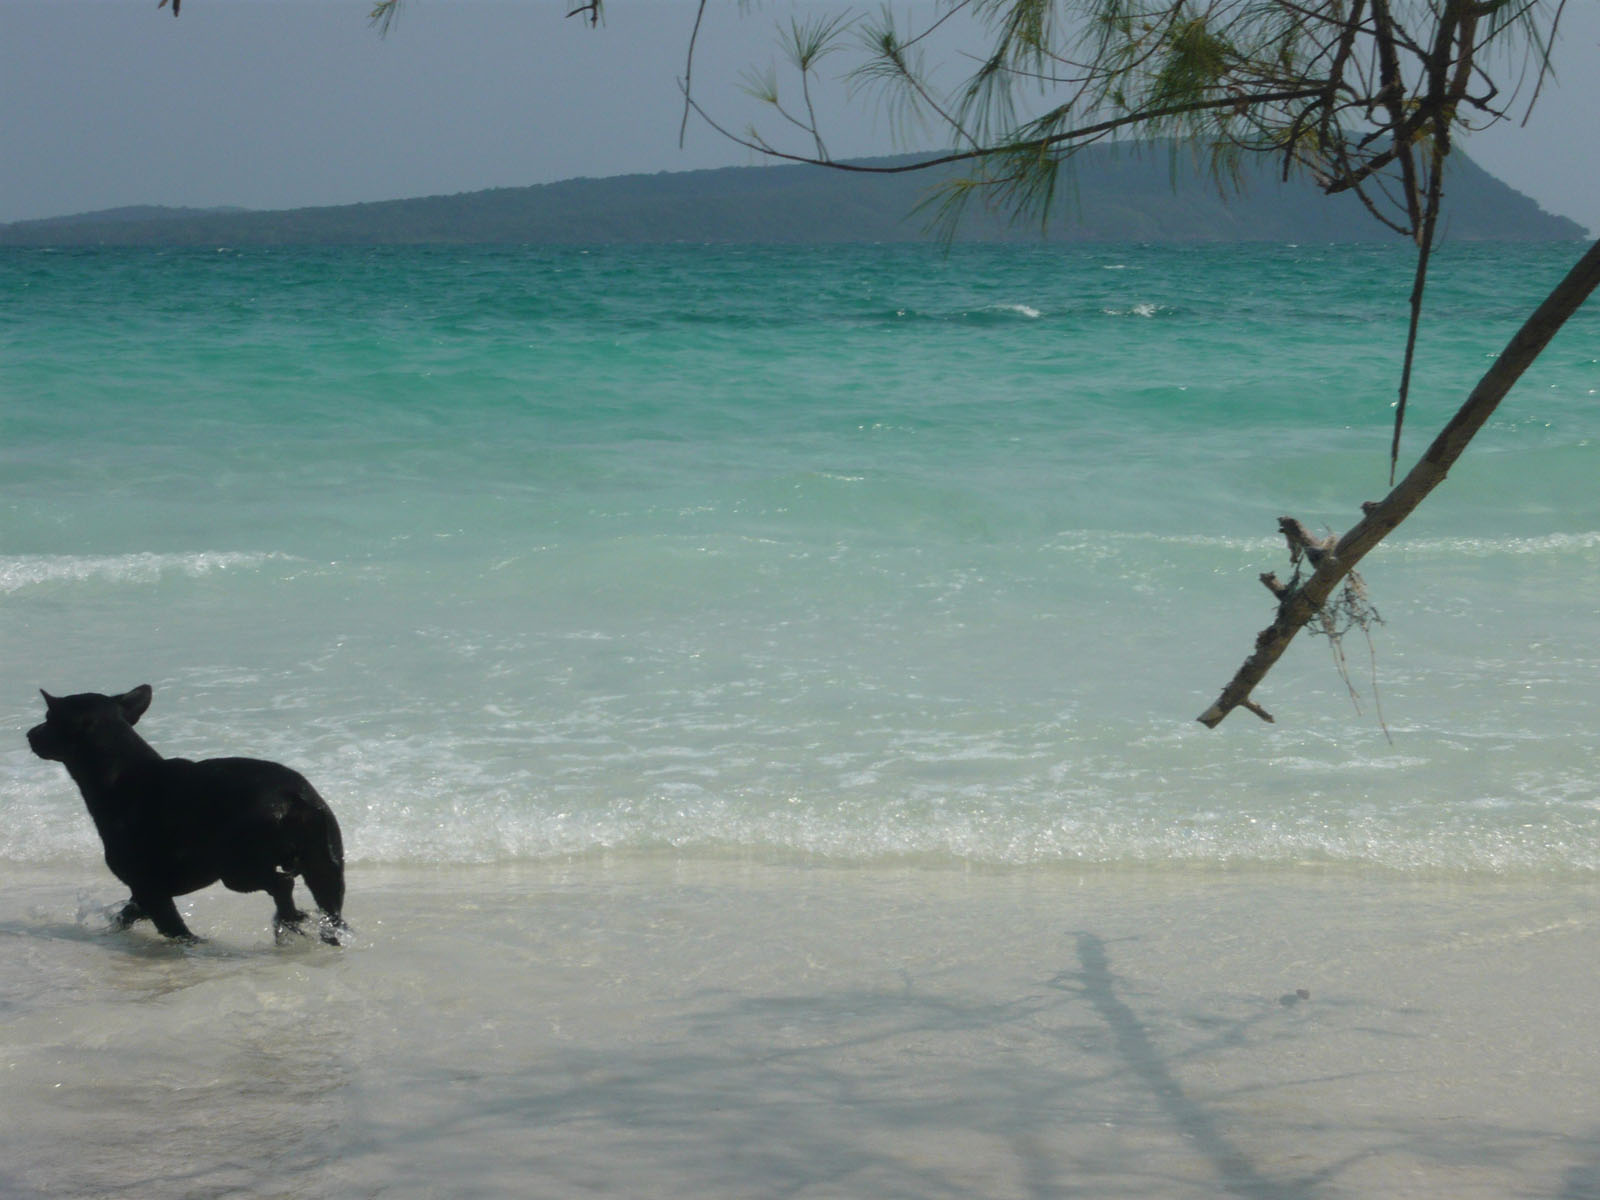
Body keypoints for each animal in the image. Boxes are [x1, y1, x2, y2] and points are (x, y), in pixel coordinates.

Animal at [28, 684, 348, 947]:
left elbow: (173, 928)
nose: (30, 734)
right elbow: (127, 915)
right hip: (325, 867)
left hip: (237, 868)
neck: (120, 772)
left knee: (282, 885)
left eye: (49, 717)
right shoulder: (144, 894)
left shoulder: (148, 889)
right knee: (328, 911)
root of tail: (294, 798)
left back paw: (288, 921)